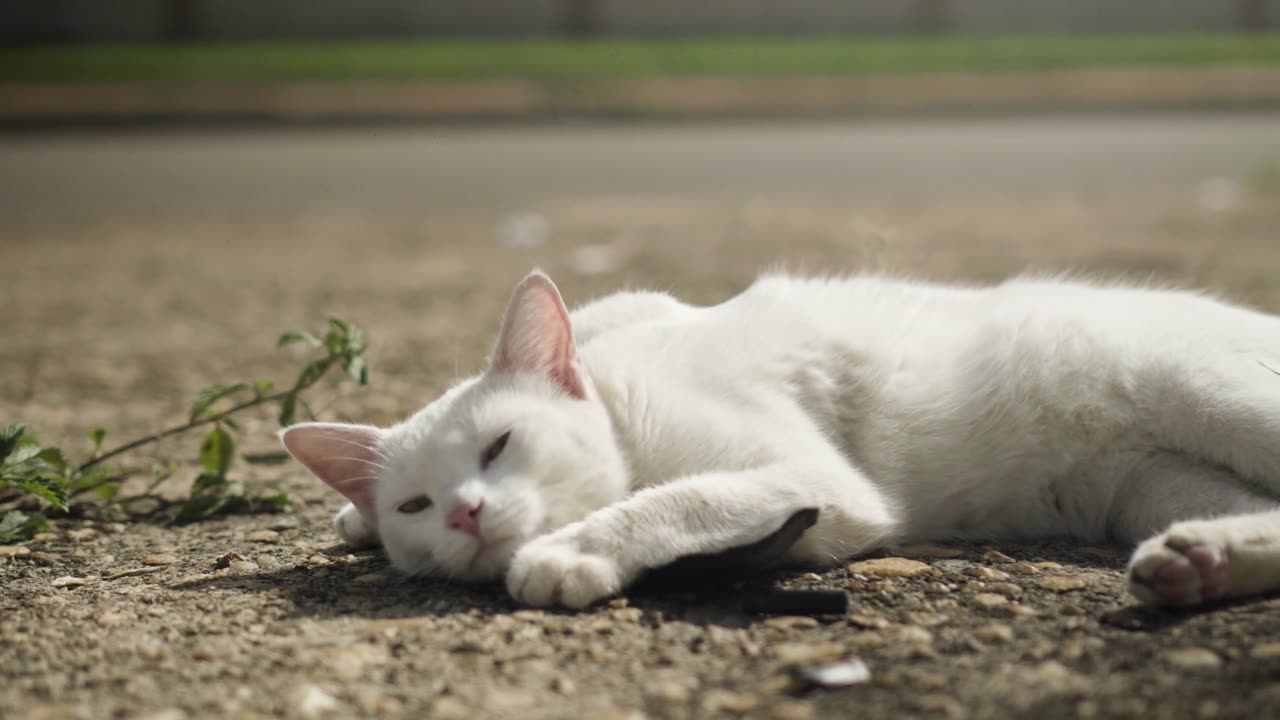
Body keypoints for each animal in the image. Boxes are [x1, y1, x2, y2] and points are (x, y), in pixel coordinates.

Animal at [282, 269, 1280, 604]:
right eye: (417, 502)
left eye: (497, 446)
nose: (464, 514)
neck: (621, 401)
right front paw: (354, 518)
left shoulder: (821, 486)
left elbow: (678, 499)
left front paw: (570, 553)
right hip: (1155, 482)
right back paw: (1200, 562)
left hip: (1210, 395)